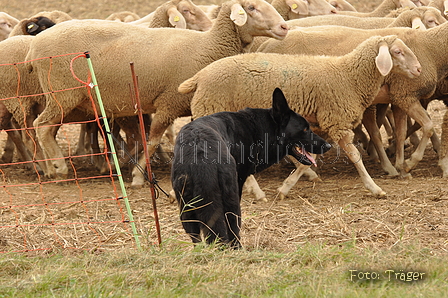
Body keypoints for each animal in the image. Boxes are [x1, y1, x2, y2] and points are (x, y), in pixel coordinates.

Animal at [26, 0, 288, 186]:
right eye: (251, 8)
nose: (284, 26)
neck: (207, 46)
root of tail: (34, 46)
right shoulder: (168, 102)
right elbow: (151, 141)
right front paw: (138, 175)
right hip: (62, 93)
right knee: (42, 126)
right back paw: (59, 168)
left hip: (63, 97)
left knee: (45, 128)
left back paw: (54, 168)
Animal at [170, 88, 330, 247]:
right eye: (305, 129)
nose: (328, 146)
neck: (262, 128)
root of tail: (198, 151)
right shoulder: (239, 181)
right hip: (230, 197)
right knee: (231, 226)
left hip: (186, 209)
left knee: (196, 237)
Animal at [180, 34, 422, 198]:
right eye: (397, 52)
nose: (419, 69)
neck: (349, 76)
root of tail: (199, 76)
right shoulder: (337, 121)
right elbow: (355, 157)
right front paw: (375, 188)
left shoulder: (322, 125)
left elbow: (308, 160)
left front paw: (286, 186)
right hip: (212, 109)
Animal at [256, 22, 448, 198]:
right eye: (398, 52)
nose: (418, 69)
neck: (431, 47)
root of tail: (263, 45)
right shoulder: (406, 95)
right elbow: (428, 126)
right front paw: (409, 163)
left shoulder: (398, 98)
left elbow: (401, 132)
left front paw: (401, 165)